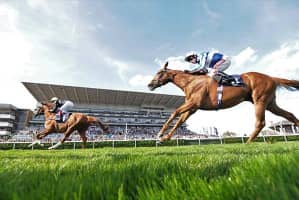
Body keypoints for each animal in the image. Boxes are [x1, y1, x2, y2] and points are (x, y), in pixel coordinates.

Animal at [149, 61, 299, 143]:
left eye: (159, 73)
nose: (150, 84)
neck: (191, 82)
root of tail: (272, 78)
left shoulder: (194, 103)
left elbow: (174, 113)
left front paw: (160, 134)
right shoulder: (192, 108)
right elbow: (179, 121)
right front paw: (165, 138)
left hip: (260, 100)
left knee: (260, 122)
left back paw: (248, 143)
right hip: (270, 103)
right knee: (289, 115)